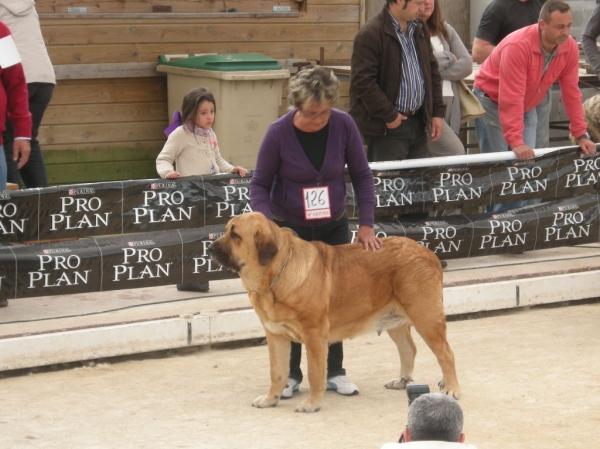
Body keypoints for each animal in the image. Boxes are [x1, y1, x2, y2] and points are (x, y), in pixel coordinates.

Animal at [209, 212, 462, 412]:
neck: (276, 274)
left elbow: (314, 373)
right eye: (227, 230)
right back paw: (403, 381)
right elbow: (277, 372)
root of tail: (429, 254)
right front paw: (271, 400)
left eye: (235, 235)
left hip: (426, 317)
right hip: (396, 322)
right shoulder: (276, 336)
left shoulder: (314, 336)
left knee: (446, 353)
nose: (210, 247)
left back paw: (451, 388)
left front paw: (311, 404)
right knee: (409, 349)